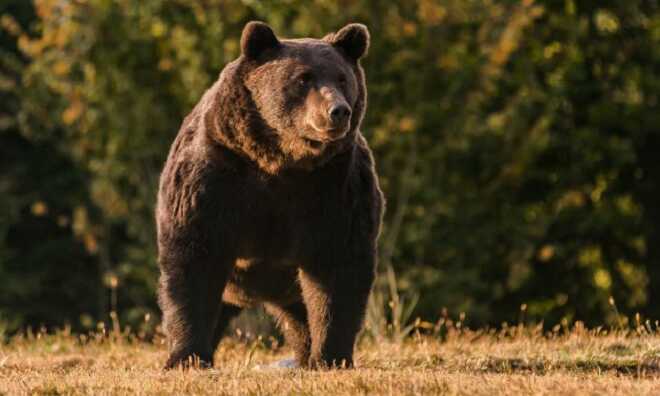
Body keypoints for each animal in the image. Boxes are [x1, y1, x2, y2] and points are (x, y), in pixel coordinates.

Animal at [156, 20, 382, 368]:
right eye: (303, 78)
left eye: (343, 78)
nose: (338, 111)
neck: (281, 160)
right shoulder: (215, 178)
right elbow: (193, 257)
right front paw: (186, 357)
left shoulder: (336, 187)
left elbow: (338, 269)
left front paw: (331, 356)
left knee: (301, 316)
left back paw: (306, 356)